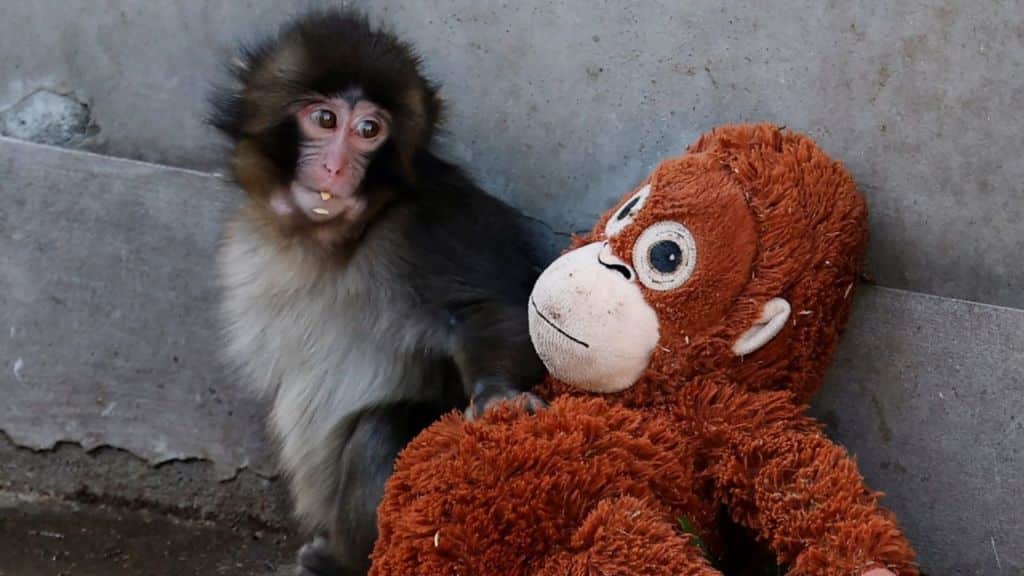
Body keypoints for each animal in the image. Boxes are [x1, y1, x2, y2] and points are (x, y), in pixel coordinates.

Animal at [207, 9, 546, 575]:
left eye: (369, 130)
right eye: (325, 120)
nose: (336, 168)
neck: (334, 240)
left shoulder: (428, 227)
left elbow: (486, 309)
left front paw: (498, 396)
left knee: (381, 433)